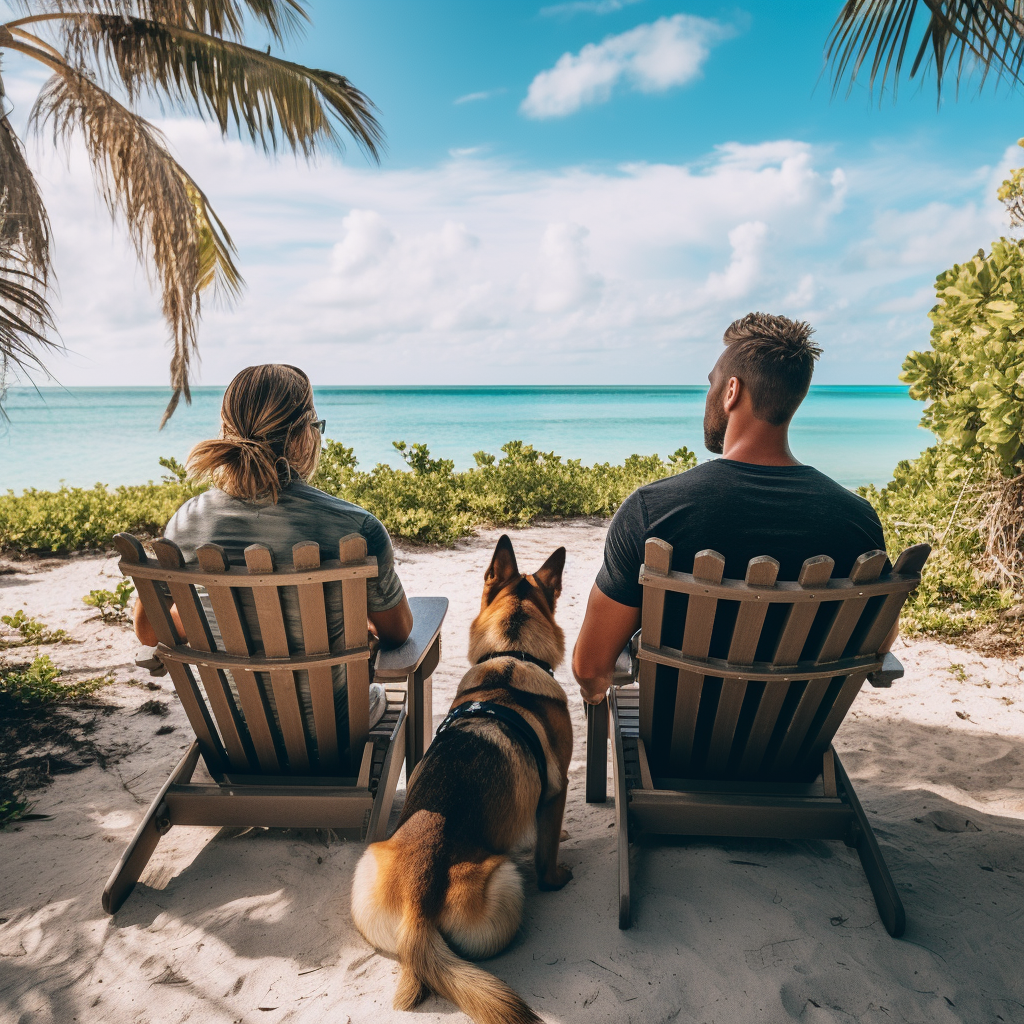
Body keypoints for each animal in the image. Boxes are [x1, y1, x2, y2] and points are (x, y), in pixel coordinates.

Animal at [352, 536, 577, 1024]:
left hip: (368, 862)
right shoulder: (557, 791)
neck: (512, 658)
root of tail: (418, 907)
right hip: (507, 880)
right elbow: (548, 851)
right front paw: (557, 872)